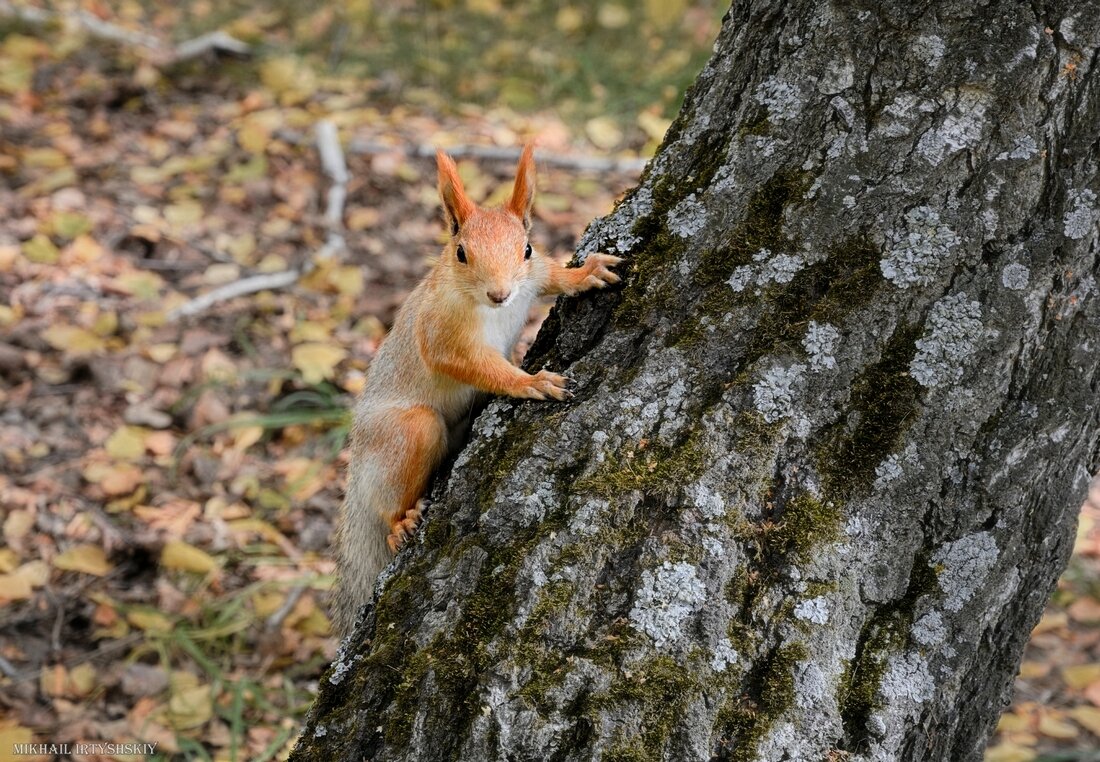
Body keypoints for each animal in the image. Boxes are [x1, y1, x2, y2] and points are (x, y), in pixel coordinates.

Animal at [330, 145, 624, 633]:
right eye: (461, 253)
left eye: (526, 248)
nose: (500, 294)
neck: (489, 308)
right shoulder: (442, 333)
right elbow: (472, 366)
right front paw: (531, 381)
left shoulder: (532, 276)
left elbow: (551, 274)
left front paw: (585, 273)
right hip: (404, 434)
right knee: (387, 500)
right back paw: (400, 521)